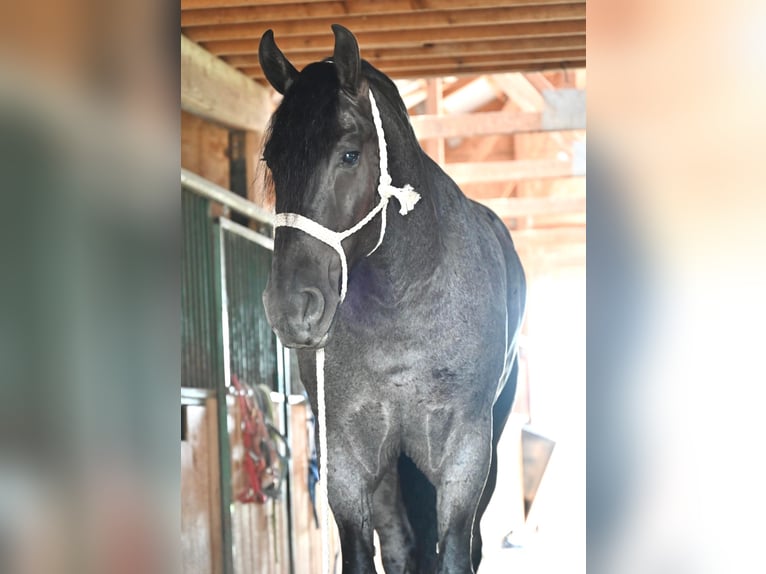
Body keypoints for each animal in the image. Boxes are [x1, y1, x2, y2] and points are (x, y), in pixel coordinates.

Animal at [260, 24, 528, 572]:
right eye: (271, 161)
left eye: (349, 154)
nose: (292, 308)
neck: (402, 304)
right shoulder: (346, 456)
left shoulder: (464, 453)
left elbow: (456, 550)